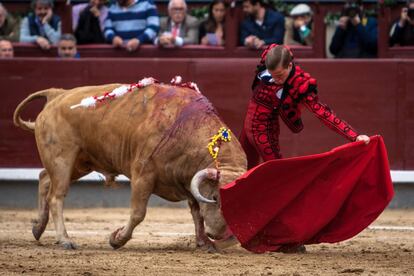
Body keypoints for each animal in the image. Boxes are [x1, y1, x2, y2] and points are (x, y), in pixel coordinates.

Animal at [12, 78, 246, 251]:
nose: (219, 234)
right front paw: (116, 239)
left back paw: (38, 228)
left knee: (44, 178)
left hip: (80, 163)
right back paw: (65, 240)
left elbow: (196, 213)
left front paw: (203, 243)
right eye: (215, 197)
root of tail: (57, 94)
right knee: (56, 196)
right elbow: (138, 213)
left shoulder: (186, 180)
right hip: (63, 159)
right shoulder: (143, 174)